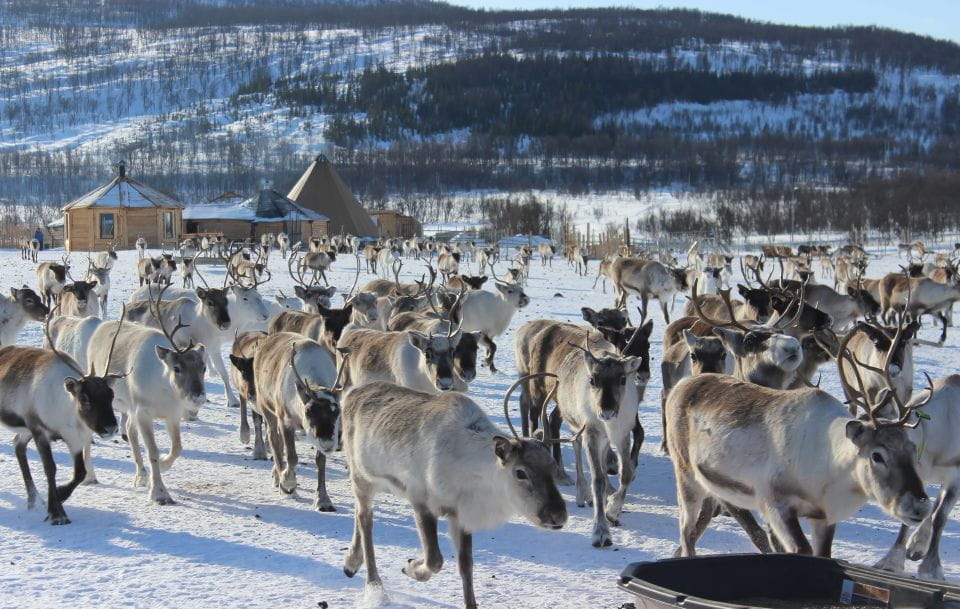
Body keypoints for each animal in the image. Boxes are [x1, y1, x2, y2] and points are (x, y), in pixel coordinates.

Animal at [1, 313, 122, 524]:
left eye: (111, 394)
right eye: (84, 397)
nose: (110, 428)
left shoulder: (75, 438)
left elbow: (80, 473)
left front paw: (59, 494)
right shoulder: (39, 430)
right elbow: (50, 468)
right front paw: (57, 513)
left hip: (25, 431)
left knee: (18, 446)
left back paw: (33, 501)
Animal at [254, 332, 349, 510]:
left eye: (337, 410)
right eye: (308, 411)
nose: (328, 442)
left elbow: (320, 461)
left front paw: (323, 500)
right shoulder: (286, 421)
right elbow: (292, 457)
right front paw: (288, 484)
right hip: (266, 407)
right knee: (273, 437)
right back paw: (280, 478)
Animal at [340, 377, 567, 609]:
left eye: (553, 467)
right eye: (520, 472)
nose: (558, 515)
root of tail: (351, 393)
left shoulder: (461, 514)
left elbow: (466, 565)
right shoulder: (420, 499)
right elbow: (435, 559)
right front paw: (410, 566)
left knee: (360, 514)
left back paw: (351, 563)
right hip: (361, 476)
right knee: (365, 519)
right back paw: (374, 585)